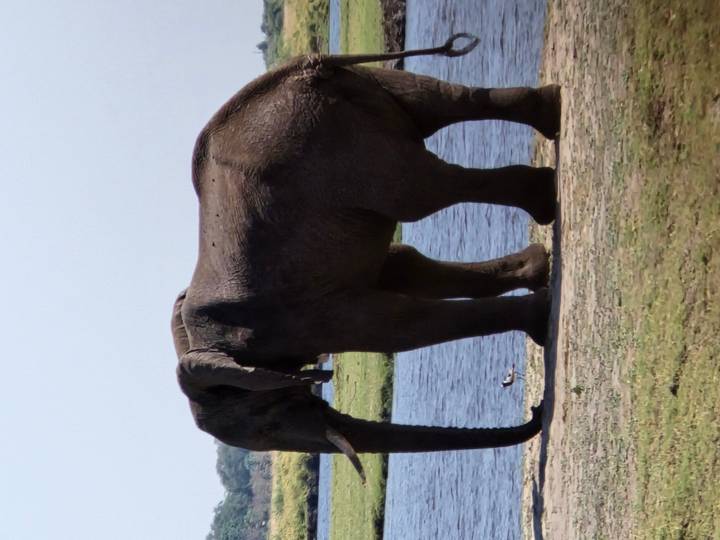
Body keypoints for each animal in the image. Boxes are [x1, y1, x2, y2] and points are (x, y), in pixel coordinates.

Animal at [173, 34, 558, 480]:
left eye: (265, 424)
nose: (536, 410)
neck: (200, 341)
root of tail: (303, 69)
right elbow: (407, 267)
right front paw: (539, 270)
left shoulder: (288, 318)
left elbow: (394, 327)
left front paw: (540, 315)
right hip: (360, 99)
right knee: (444, 101)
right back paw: (550, 120)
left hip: (329, 150)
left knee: (423, 189)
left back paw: (545, 196)